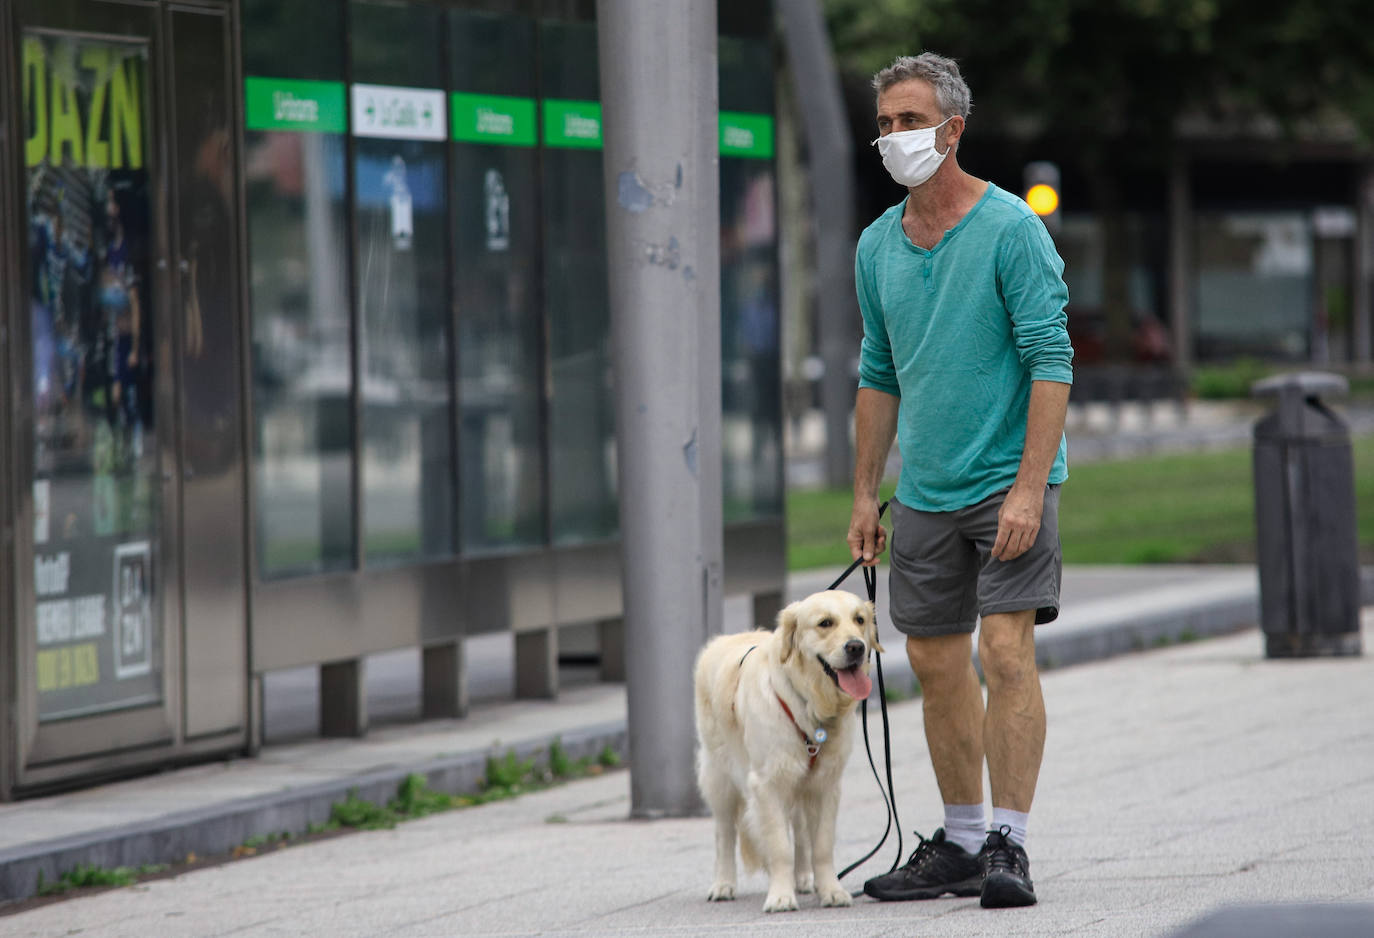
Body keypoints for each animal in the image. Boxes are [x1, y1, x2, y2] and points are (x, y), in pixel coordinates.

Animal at [692, 590, 884, 911]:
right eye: (825, 623)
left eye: (859, 619)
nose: (856, 647)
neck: (810, 704)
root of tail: (720, 642)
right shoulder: (767, 784)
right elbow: (780, 846)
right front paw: (780, 896)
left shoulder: (825, 785)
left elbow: (821, 845)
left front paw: (831, 890)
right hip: (720, 778)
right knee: (725, 832)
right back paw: (723, 884)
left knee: (801, 833)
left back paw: (804, 879)